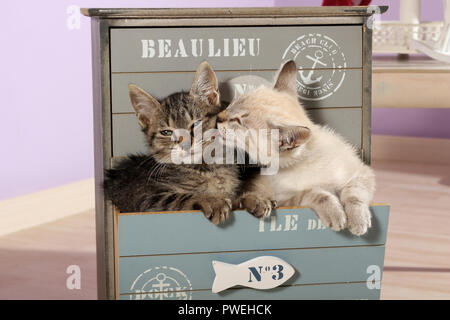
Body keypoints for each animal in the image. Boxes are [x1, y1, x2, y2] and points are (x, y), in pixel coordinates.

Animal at [103, 61, 241, 224]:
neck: (205, 168)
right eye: (167, 132)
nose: (185, 145)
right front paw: (212, 201)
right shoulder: (143, 198)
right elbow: (180, 198)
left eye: (196, 124)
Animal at [218, 60, 376, 235]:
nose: (218, 117)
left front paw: (358, 220)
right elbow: (316, 193)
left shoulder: (362, 172)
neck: (305, 161)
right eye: (231, 105)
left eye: (237, 121)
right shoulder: (284, 200)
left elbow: (354, 194)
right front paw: (335, 213)